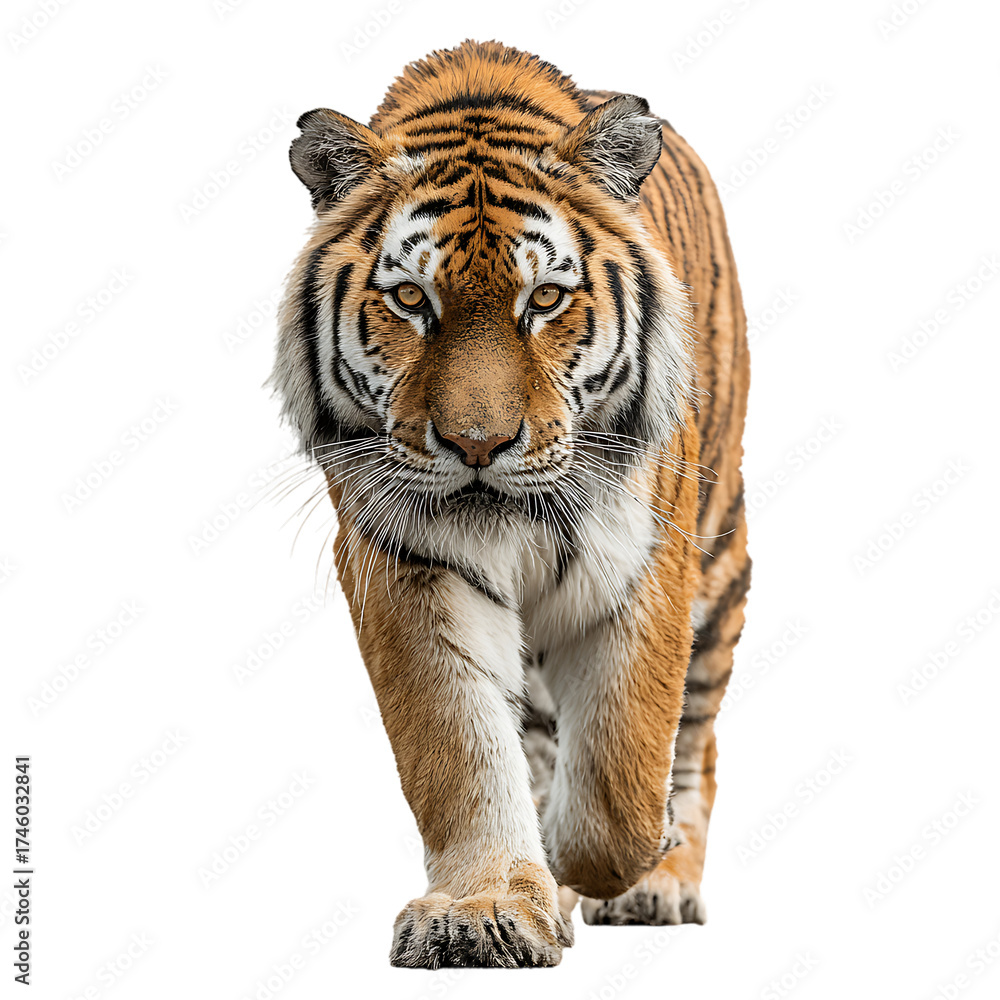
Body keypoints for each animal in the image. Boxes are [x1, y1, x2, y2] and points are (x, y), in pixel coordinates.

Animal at [269, 39, 750, 968]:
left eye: (546, 300)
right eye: (411, 300)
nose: (478, 444)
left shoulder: (646, 560)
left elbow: (621, 773)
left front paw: (600, 858)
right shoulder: (404, 565)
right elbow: (461, 747)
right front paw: (484, 908)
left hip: (719, 564)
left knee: (694, 740)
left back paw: (663, 882)